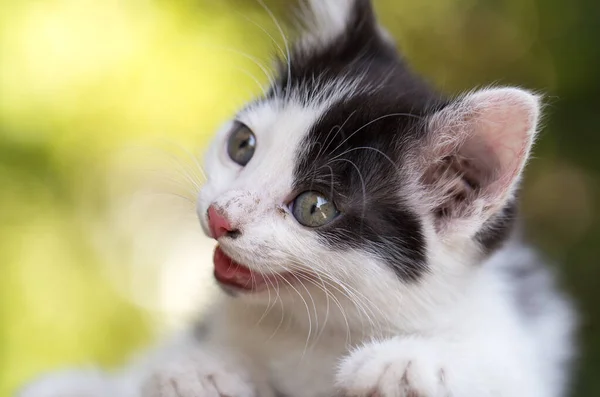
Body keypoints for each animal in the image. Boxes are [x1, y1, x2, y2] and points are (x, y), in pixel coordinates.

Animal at [17, 0, 576, 396]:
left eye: (314, 207)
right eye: (241, 145)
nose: (219, 216)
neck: (315, 330)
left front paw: (407, 363)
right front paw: (201, 371)